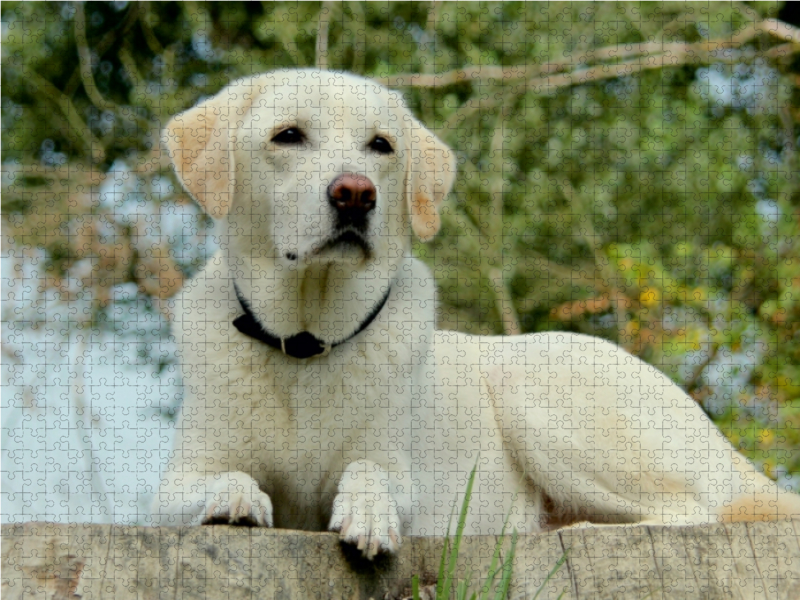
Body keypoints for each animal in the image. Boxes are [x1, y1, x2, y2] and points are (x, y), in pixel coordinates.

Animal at [153, 69, 800, 556]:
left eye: (381, 145)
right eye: (287, 136)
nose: (356, 193)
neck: (308, 339)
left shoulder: (403, 471)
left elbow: (371, 472)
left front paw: (369, 511)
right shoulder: (172, 484)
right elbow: (219, 479)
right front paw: (235, 498)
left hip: (533, 388)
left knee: (694, 510)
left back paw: (583, 528)